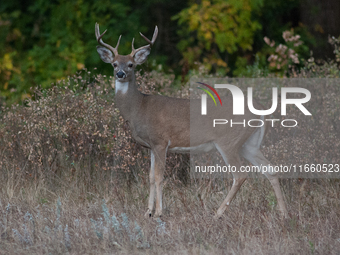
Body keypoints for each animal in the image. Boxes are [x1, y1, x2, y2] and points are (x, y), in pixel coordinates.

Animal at [95, 22, 286, 219]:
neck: (139, 107)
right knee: (271, 169)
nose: (120, 74)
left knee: (240, 175)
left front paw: (159, 212)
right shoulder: (151, 146)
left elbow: (158, 177)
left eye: (131, 64)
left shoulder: (160, 141)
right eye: (114, 63)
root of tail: (261, 109)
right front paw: (147, 212)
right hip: (249, 143)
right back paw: (284, 213)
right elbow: (150, 177)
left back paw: (217, 213)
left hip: (228, 141)